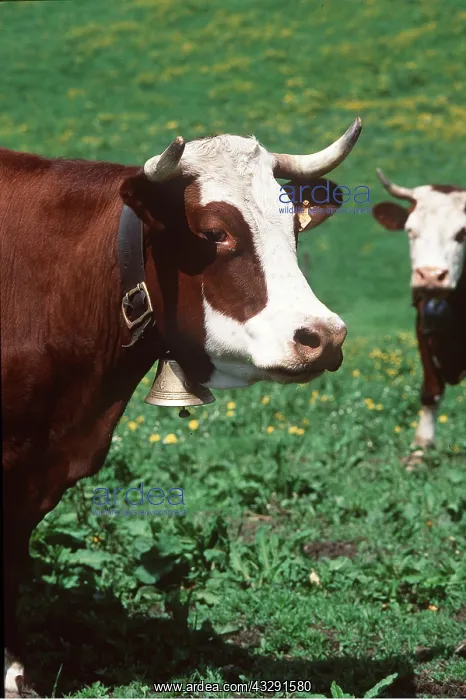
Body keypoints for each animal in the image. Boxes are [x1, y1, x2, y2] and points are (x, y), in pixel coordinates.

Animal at [372, 169, 466, 449]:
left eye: (462, 233)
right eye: (410, 231)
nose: (431, 276)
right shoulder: (422, 327)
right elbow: (431, 390)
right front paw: (421, 447)